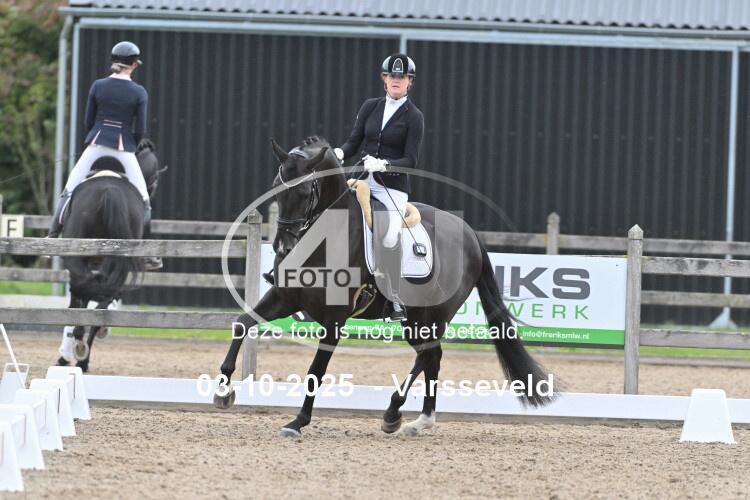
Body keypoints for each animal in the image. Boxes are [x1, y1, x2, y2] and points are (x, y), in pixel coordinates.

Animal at [56, 139, 166, 372]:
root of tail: (109, 191)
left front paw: (66, 355)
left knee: (85, 301)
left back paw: (80, 352)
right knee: (99, 302)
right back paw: (83, 356)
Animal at [215, 135, 553, 437]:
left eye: (305, 191)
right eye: (276, 187)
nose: (283, 248)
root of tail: (470, 235)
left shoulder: (335, 319)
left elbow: (316, 370)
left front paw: (297, 422)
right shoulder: (284, 298)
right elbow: (242, 324)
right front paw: (223, 392)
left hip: (431, 315)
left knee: (427, 355)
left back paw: (393, 413)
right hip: (417, 319)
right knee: (433, 357)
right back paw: (420, 421)